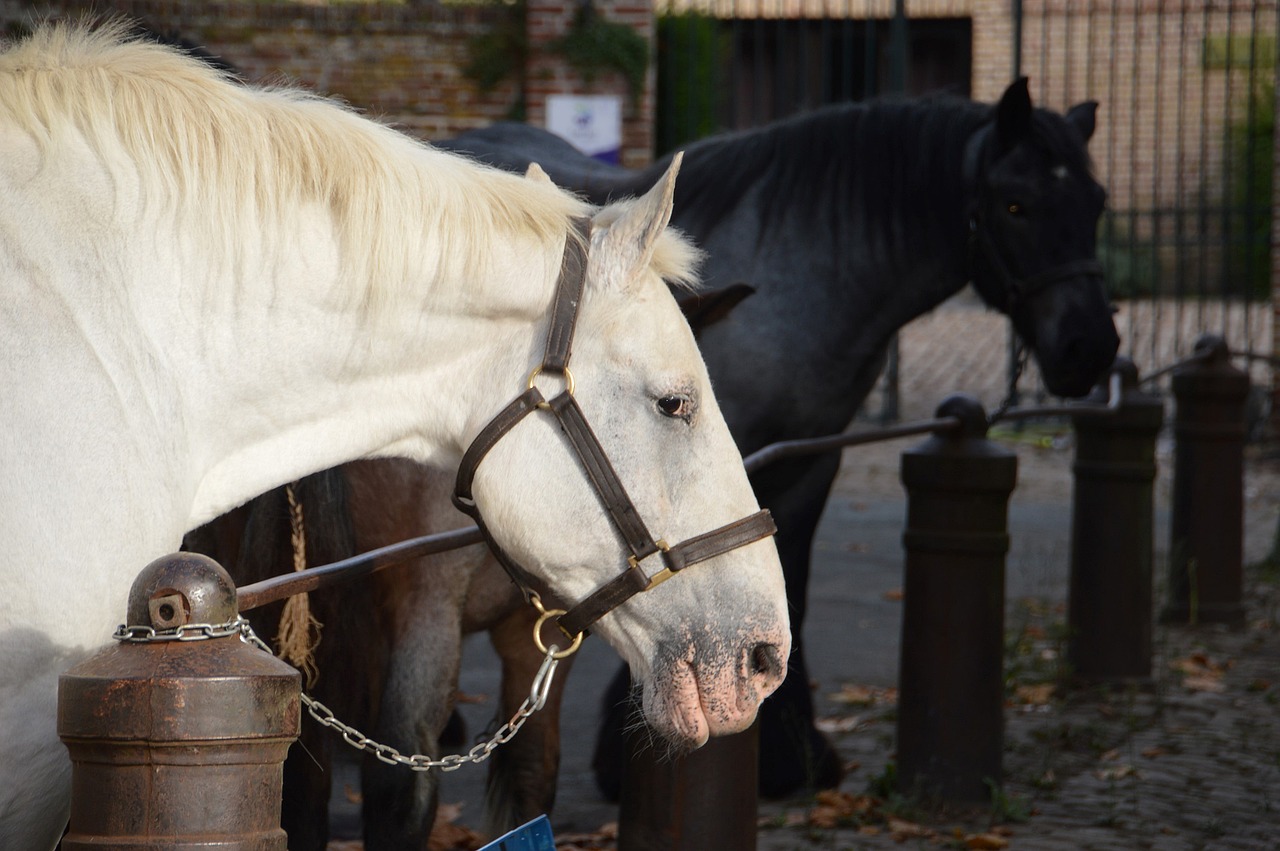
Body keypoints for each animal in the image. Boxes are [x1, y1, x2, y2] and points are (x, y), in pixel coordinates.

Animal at [437, 77, 1121, 798]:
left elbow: (786, 568)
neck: (797, 275)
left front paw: (791, 753)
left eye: (1096, 203)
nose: (1090, 349)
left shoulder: (809, 458)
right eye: (1016, 204)